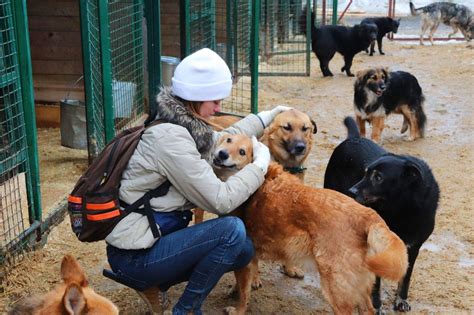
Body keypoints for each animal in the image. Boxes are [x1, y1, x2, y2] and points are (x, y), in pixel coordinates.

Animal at [217, 135, 410, 315]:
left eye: (242, 151)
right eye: (228, 139)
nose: (221, 154)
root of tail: (367, 215)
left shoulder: (245, 259)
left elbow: (243, 292)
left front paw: (238, 308)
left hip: (336, 289)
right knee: (368, 309)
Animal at [324, 117, 438, 314]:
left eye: (378, 177)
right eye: (365, 173)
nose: (351, 191)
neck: (403, 209)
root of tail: (353, 138)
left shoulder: (413, 247)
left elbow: (405, 278)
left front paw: (401, 300)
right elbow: (376, 285)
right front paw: (375, 307)